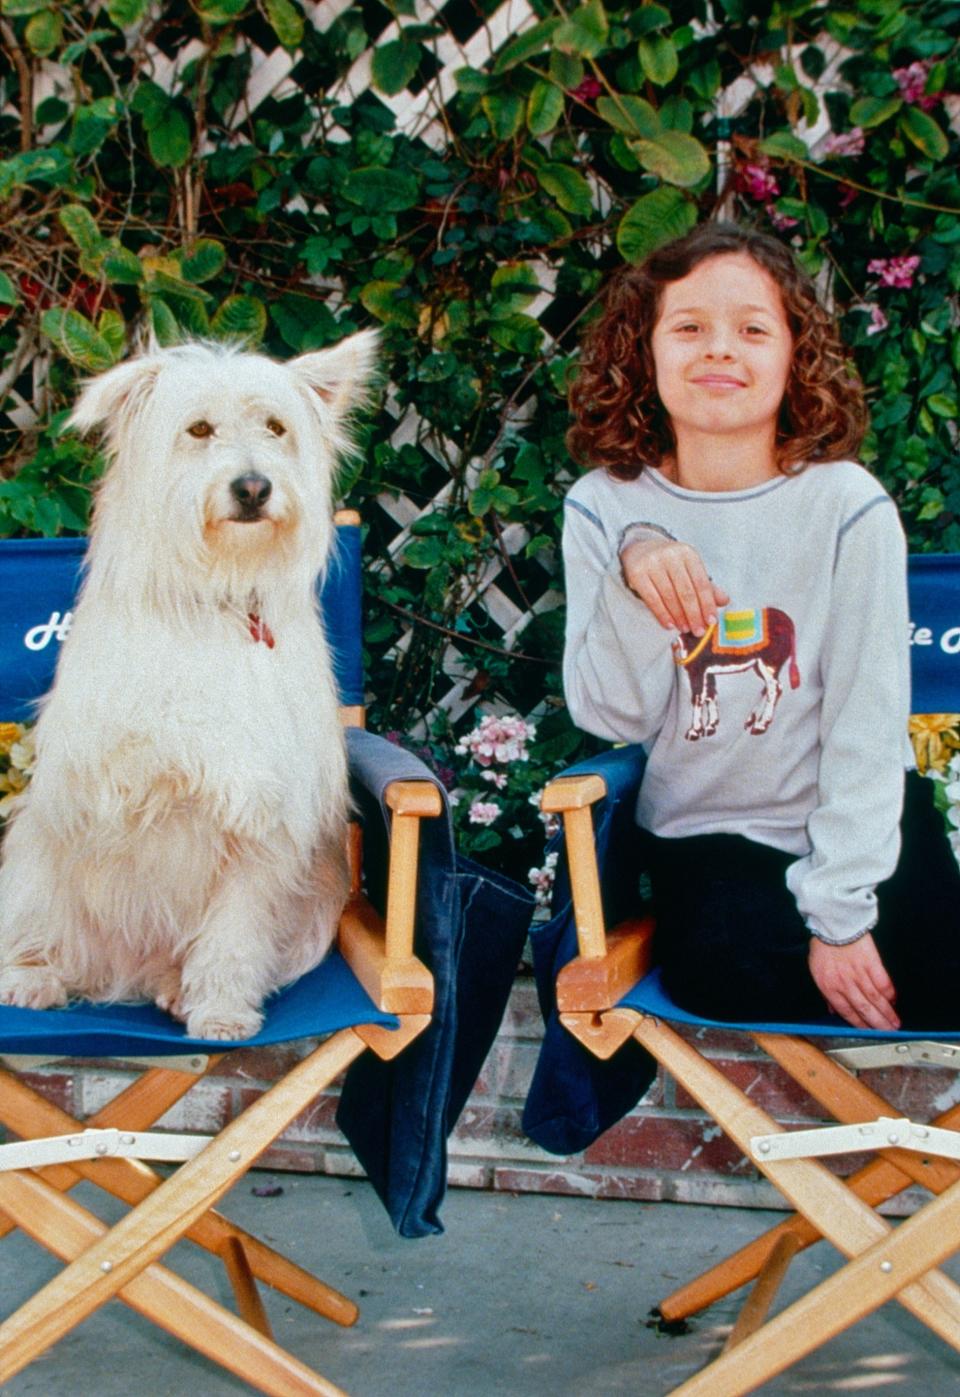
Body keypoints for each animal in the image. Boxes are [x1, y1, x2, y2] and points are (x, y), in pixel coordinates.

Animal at [0, 329, 380, 1039]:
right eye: (199, 429)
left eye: (276, 427)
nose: (253, 487)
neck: (220, 596)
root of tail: (128, 973)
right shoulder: (107, 770)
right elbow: (163, 746)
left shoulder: (264, 841)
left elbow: (233, 937)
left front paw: (221, 1010)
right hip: (35, 862)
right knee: (42, 932)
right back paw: (31, 975)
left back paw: (178, 989)